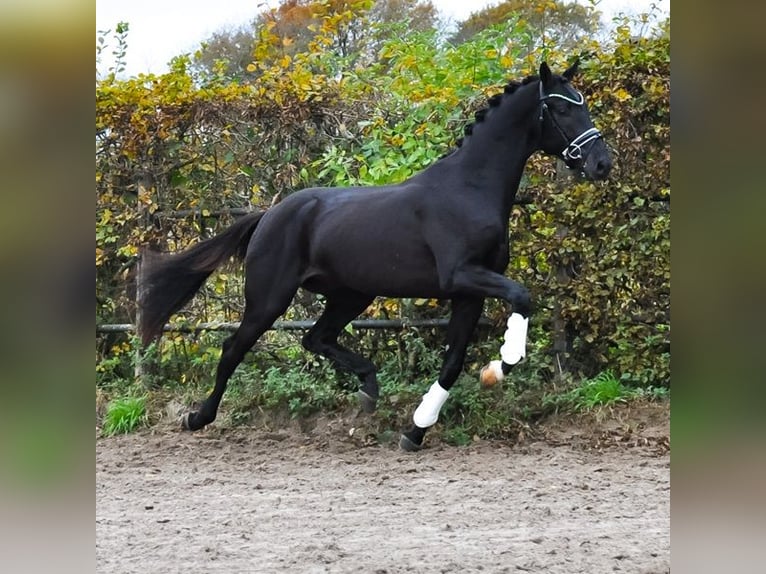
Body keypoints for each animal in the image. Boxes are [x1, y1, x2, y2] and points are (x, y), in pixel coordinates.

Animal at [141, 60, 616, 452]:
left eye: (583, 104)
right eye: (562, 110)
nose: (602, 164)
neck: (469, 190)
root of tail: (270, 214)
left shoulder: (469, 292)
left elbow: (453, 360)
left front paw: (416, 430)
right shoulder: (461, 276)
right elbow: (521, 296)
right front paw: (504, 362)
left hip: (352, 294)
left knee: (315, 338)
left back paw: (369, 389)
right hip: (269, 298)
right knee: (233, 347)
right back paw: (198, 418)